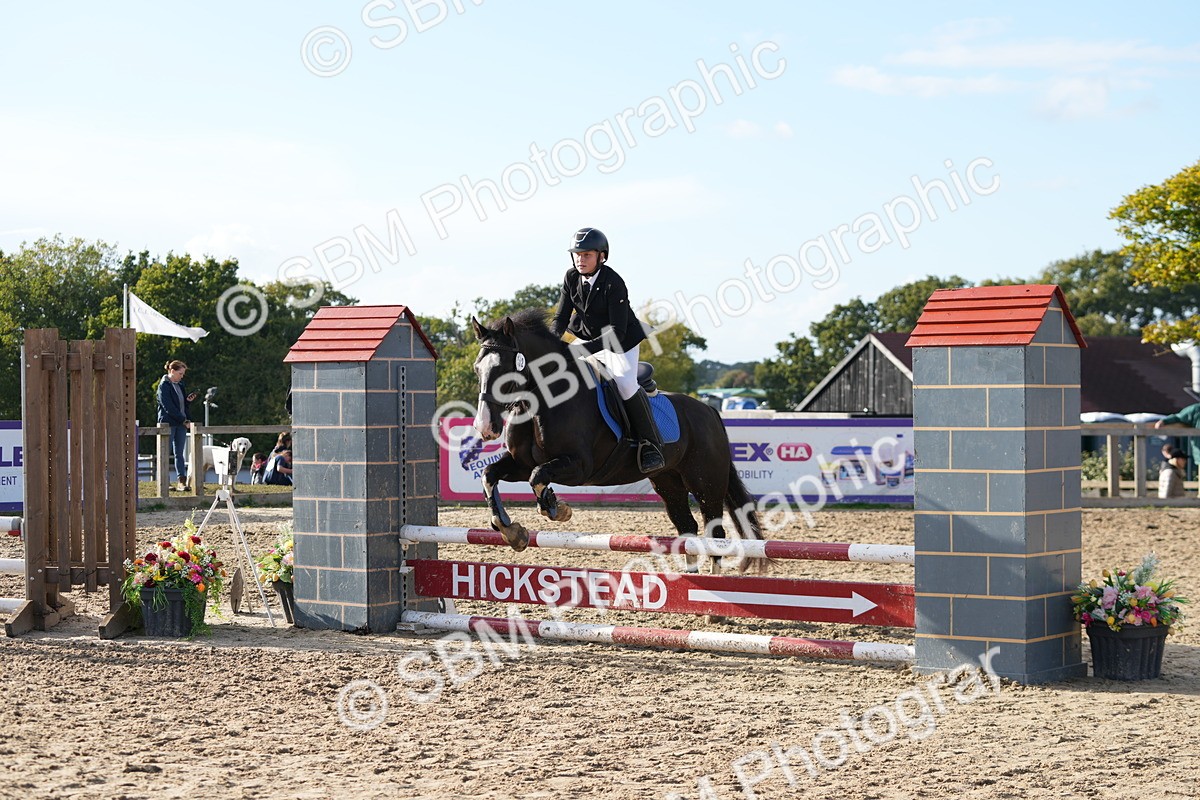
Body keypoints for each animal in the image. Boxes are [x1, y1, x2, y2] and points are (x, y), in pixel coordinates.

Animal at [470, 309, 765, 572]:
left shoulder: (579, 466)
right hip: (668, 481)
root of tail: (709, 411)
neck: (544, 400)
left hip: (706, 483)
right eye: (477, 369)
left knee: (715, 532)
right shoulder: (520, 463)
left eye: (505, 370)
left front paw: (557, 508)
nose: (485, 427)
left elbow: (538, 476)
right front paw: (511, 530)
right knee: (687, 528)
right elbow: (490, 474)